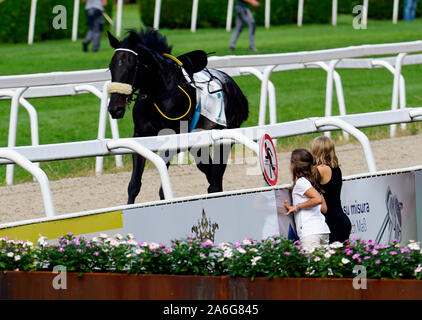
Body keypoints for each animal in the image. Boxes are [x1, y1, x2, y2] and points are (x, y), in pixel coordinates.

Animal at [107, 28, 249, 204]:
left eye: (132, 67)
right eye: (110, 67)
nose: (115, 108)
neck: (159, 93)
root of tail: (235, 87)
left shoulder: (172, 139)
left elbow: (162, 191)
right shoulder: (141, 136)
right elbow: (134, 185)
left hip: (224, 139)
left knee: (215, 180)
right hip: (198, 145)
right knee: (210, 174)